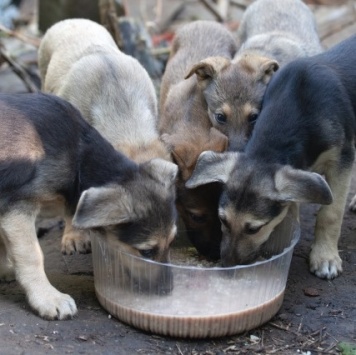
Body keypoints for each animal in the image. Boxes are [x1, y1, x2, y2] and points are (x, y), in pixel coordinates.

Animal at [0, 94, 178, 320]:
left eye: (172, 242)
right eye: (146, 252)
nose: (168, 290)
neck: (79, 160)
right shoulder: (17, 205)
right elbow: (32, 254)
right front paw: (47, 298)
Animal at [185, 34, 356, 280]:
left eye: (254, 228)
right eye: (223, 220)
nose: (227, 267)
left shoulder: (342, 159)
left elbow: (330, 213)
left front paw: (325, 257)